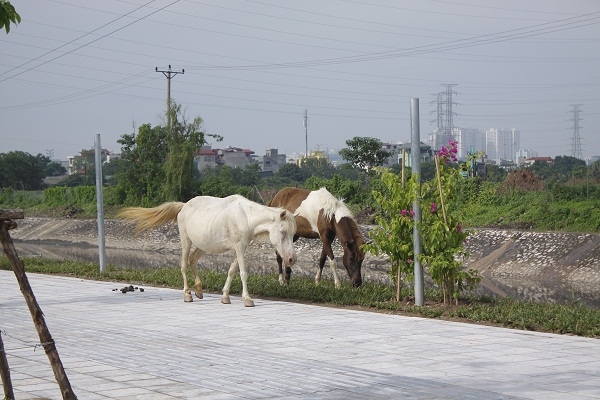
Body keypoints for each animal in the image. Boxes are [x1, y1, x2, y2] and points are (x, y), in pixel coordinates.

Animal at [116, 195, 296, 308]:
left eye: (293, 233)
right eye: (282, 232)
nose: (291, 259)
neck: (246, 217)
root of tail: (184, 206)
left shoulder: (240, 248)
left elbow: (232, 271)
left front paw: (225, 297)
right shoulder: (239, 248)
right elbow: (243, 273)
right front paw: (247, 299)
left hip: (202, 245)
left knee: (192, 261)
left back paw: (199, 290)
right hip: (186, 241)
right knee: (184, 265)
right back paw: (188, 294)